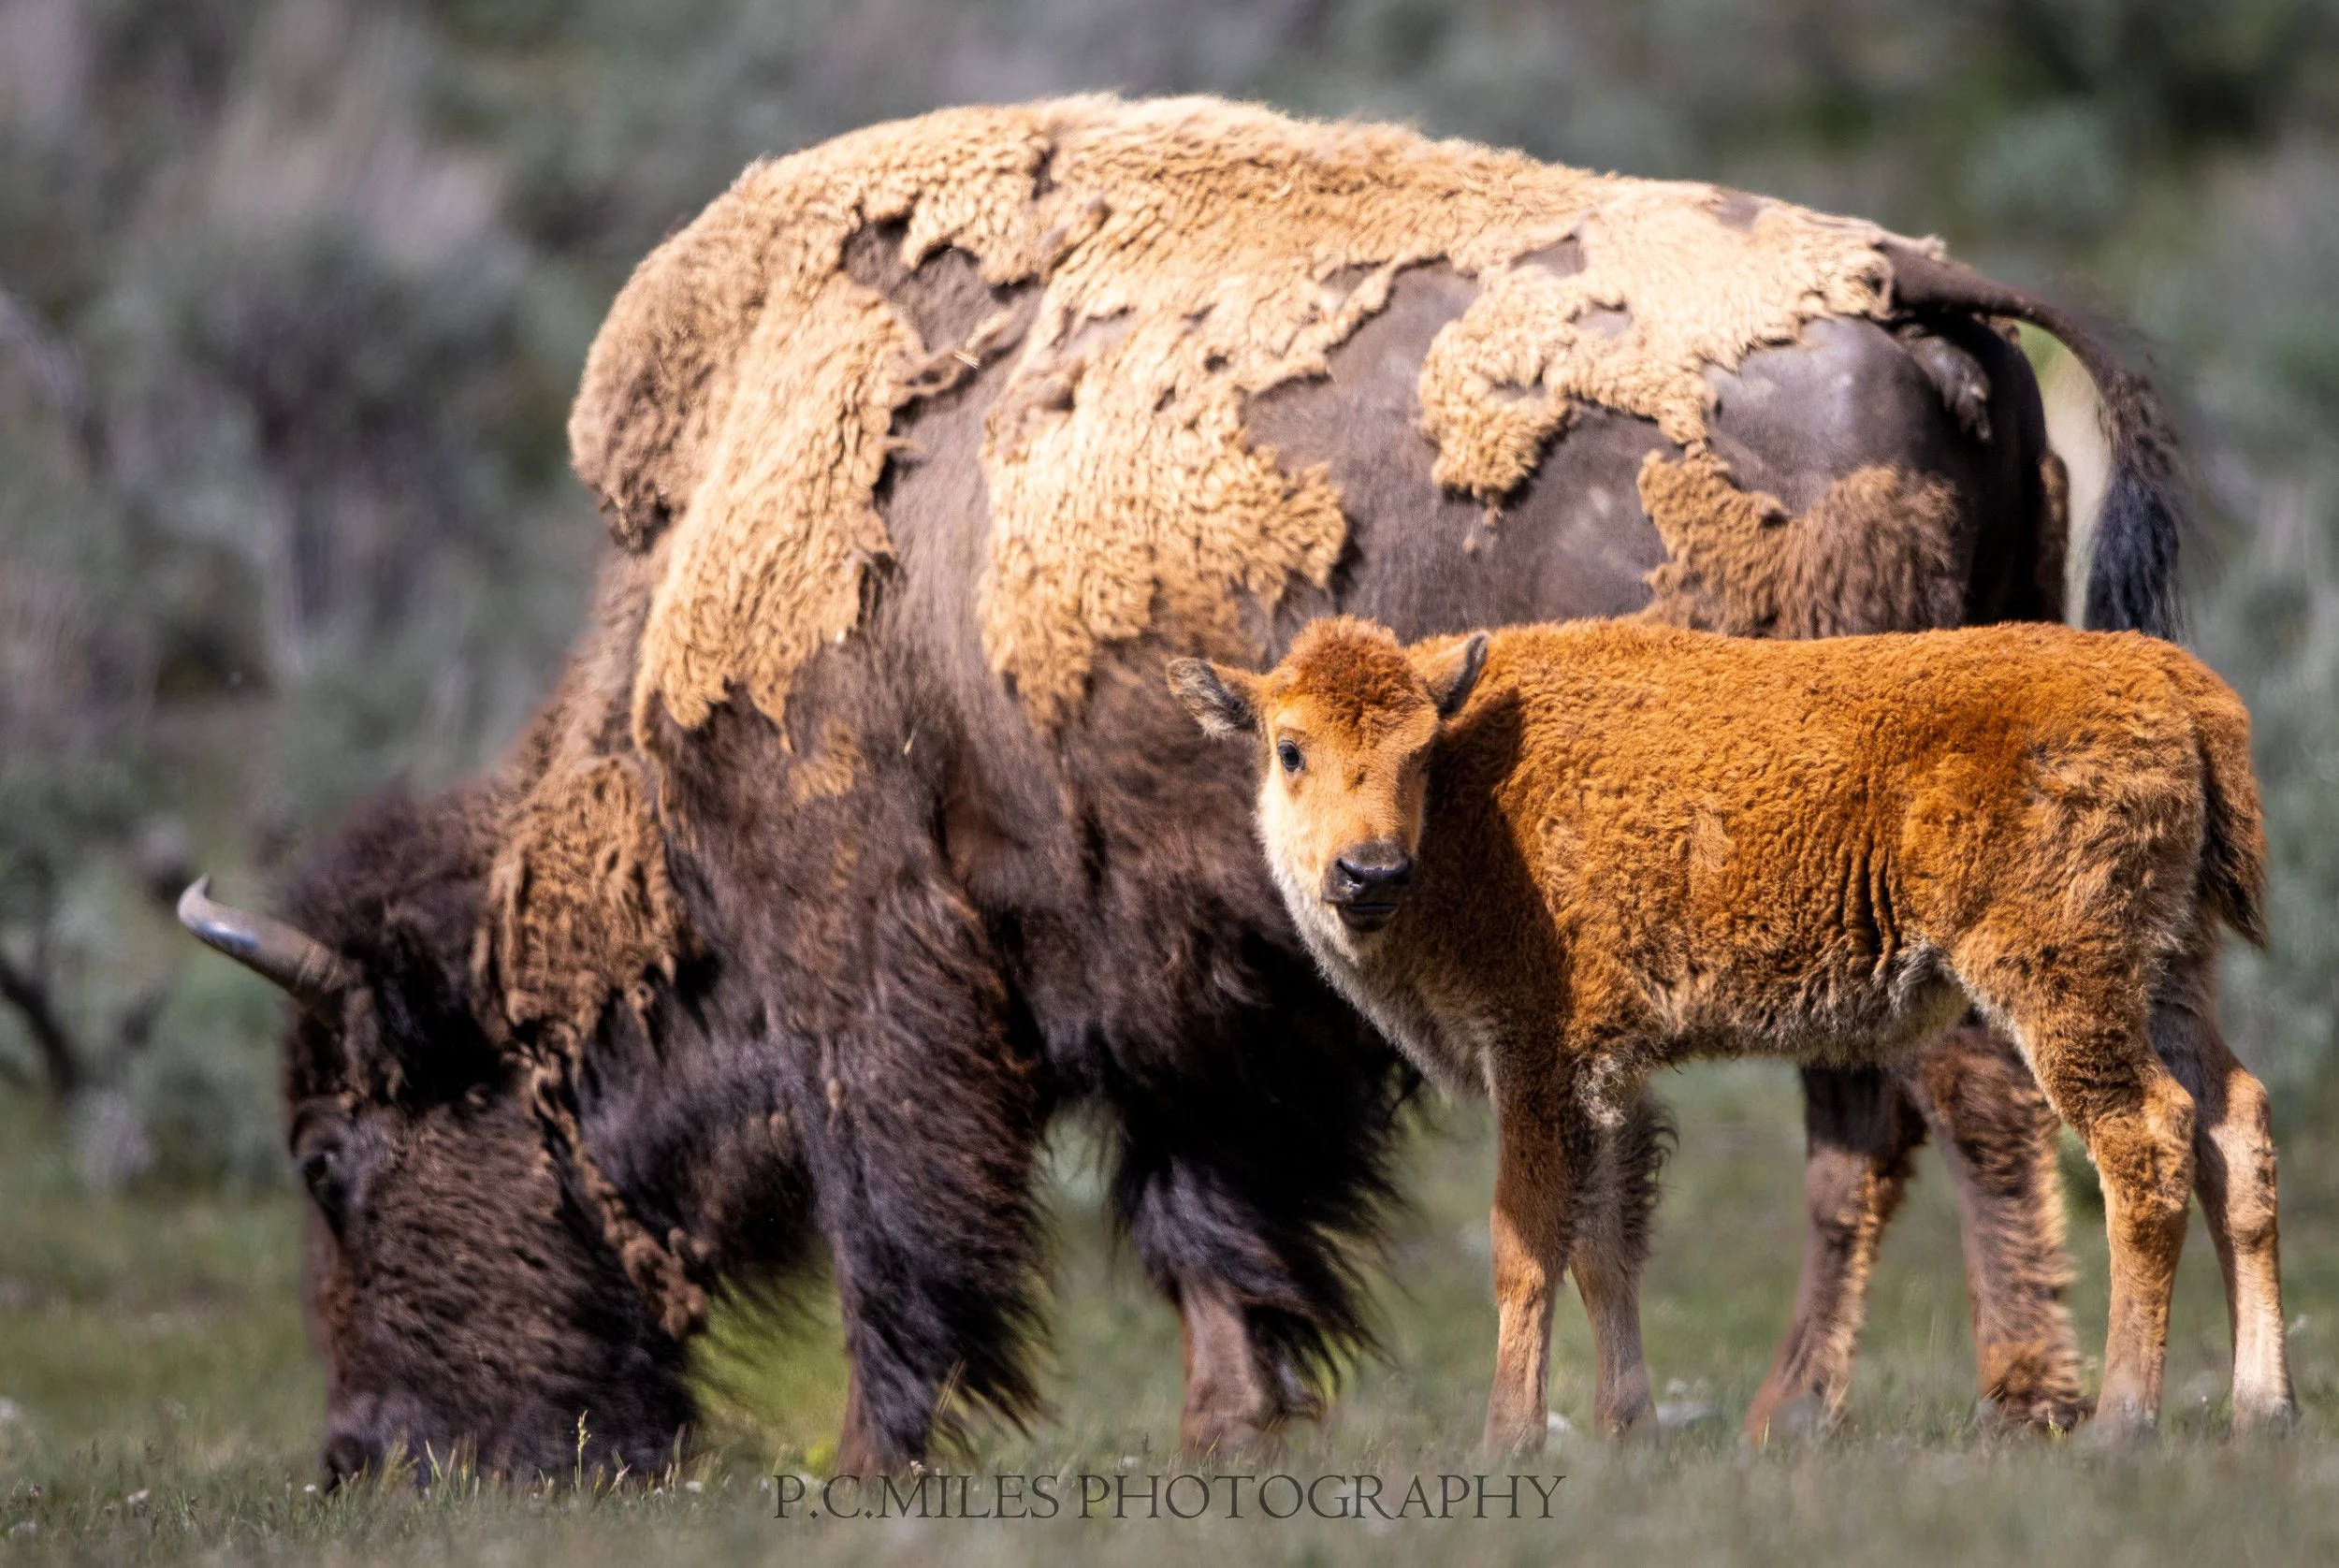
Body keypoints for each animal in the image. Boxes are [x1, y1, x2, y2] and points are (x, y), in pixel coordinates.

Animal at [1172, 614, 2290, 1448]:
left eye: (1418, 751)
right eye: (1290, 748)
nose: (1369, 871)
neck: (1473, 804)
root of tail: (2172, 678)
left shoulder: (1537, 1060)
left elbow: (1525, 1247)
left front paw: (1507, 1442)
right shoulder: (1604, 1078)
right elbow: (1604, 1248)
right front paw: (1625, 1433)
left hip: (2063, 984)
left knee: (2145, 1141)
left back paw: (2122, 1423)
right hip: (2171, 972)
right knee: (2233, 1127)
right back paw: (2260, 1409)